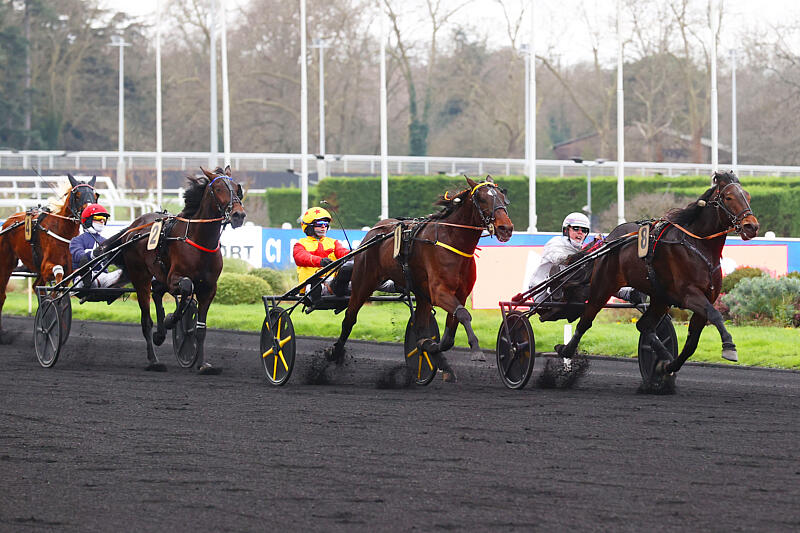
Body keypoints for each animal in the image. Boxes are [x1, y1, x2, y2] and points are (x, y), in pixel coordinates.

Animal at [0, 174, 98, 343]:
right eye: (77, 195)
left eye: (95, 195)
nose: (90, 217)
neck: (62, 230)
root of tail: (8, 221)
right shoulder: (47, 267)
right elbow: (56, 278)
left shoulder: (67, 270)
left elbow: (58, 287)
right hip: (6, 264)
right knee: (2, 295)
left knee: (35, 286)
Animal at [98, 166, 246, 373]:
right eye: (218, 188)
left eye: (236, 187)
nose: (238, 215)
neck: (200, 241)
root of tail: (134, 227)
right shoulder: (175, 277)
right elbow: (186, 287)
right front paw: (172, 320)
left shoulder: (209, 288)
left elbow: (200, 328)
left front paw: (202, 364)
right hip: (140, 276)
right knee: (146, 319)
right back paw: (154, 360)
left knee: (158, 292)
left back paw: (160, 334)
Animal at [327, 176, 514, 381]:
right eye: (481, 199)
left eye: (502, 198)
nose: (506, 228)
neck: (452, 241)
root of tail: (376, 230)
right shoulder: (439, 292)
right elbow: (464, 315)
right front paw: (476, 350)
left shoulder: (459, 293)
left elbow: (449, 333)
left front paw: (431, 348)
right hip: (363, 281)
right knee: (349, 319)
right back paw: (335, 353)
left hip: (421, 293)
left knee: (420, 325)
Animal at [555, 171, 759, 390]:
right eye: (729, 197)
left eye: (748, 197)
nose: (751, 226)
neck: (698, 246)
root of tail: (608, 240)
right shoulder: (689, 294)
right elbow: (716, 315)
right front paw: (729, 346)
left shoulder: (705, 297)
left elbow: (692, 343)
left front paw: (667, 366)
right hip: (603, 286)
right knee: (586, 321)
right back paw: (566, 350)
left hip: (661, 298)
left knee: (644, 326)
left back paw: (663, 358)